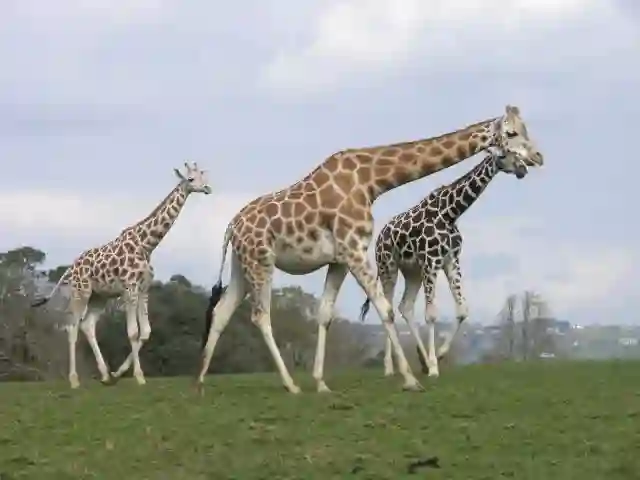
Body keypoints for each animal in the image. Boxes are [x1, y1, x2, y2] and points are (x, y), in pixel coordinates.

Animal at [31, 161, 212, 388]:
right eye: (190, 179)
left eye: (203, 176)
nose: (207, 188)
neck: (147, 245)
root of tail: (71, 267)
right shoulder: (129, 288)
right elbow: (133, 332)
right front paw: (139, 377)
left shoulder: (143, 289)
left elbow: (145, 332)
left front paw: (118, 372)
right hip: (81, 292)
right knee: (71, 327)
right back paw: (74, 380)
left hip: (99, 297)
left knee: (87, 325)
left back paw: (105, 375)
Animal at [359, 149, 543, 378]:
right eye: (503, 155)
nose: (522, 169)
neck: (450, 213)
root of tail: (379, 237)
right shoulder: (431, 261)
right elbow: (431, 315)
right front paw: (434, 368)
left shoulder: (451, 260)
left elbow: (462, 310)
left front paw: (437, 357)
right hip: (388, 267)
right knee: (388, 306)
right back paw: (390, 368)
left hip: (412, 271)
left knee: (405, 306)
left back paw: (421, 359)